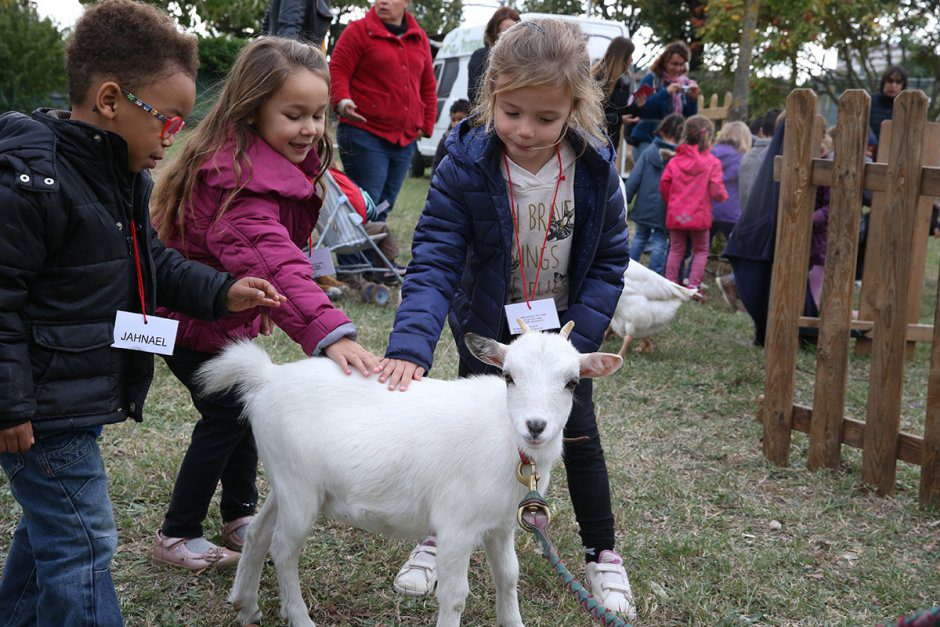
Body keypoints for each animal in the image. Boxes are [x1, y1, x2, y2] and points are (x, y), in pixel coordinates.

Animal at [198, 324, 624, 627]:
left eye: (572, 382)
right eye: (508, 376)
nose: (535, 426)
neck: (506, 438)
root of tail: (267, 378)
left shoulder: (501, 524)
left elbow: (508, 575)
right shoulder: (457, 525)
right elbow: (454, 594)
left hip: (288, 481)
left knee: (258, 532)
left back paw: (246, 606)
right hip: (299, 489)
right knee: (284, 549)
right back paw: (300, 619)